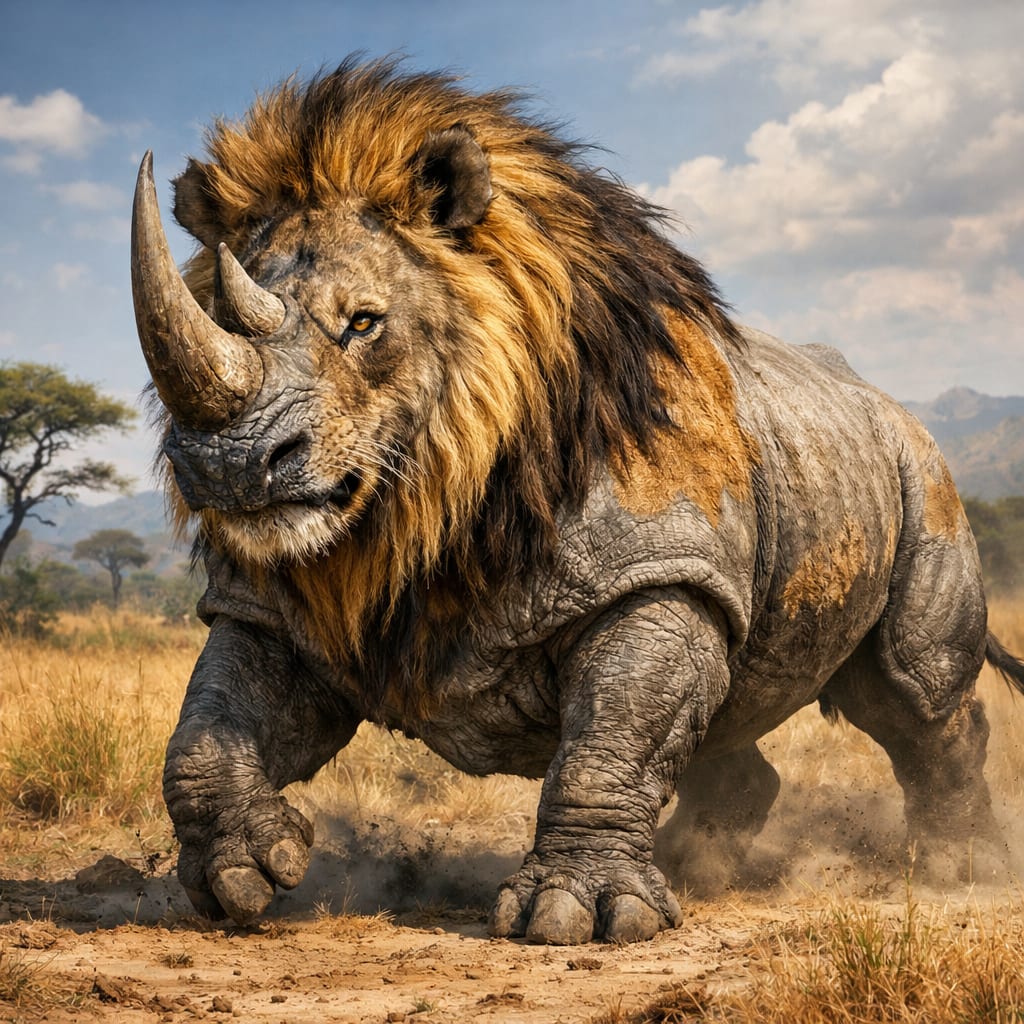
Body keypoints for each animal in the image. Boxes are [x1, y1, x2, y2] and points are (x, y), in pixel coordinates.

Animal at [131, 57, 1024, 944]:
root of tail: (886, 401)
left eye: (364, 324)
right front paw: (242, 880)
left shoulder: (659, 569)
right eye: (208, 316)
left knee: (909, 689)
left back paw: (958, 872)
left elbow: (613, 734)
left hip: (921, 471)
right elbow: (207, 725)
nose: (229, 461)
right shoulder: (279, 597)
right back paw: (702, 864)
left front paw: (576, 917)